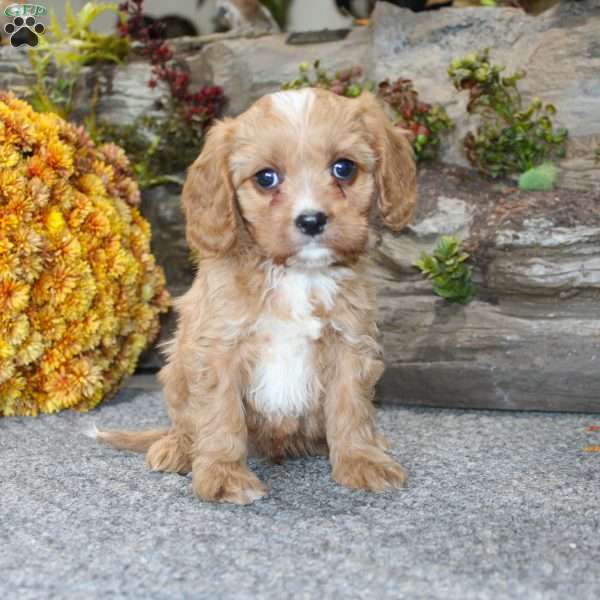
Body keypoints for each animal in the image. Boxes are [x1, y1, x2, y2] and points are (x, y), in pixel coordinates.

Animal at [98, 86, 418, 504]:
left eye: (344, 168)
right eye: (266, 178)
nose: (312, 220)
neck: (297, 274)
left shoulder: (350, 343)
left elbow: (351, 406)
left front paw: (360, 459)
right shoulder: (217, 349)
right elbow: (221, 417)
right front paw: (223, 474)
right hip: (176, 367)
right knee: (185, 424)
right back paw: (179, 448)